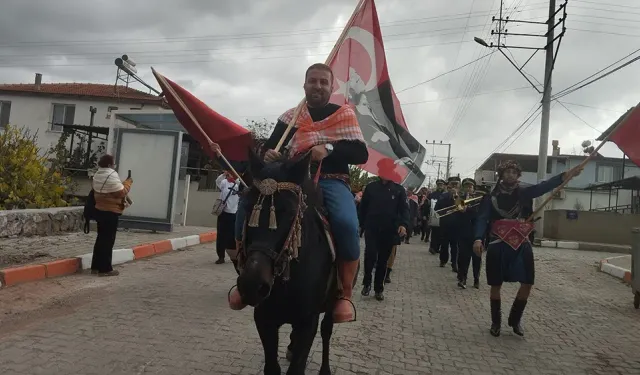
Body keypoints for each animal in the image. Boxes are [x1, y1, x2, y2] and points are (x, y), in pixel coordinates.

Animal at [238, 151, 342, 375]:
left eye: (289, 211)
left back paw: (325, 369)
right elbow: (272, 367)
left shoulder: (308, 322)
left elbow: (297, 368)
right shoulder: (264, 318)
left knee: (327, 330)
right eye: (247, 207)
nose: (252, 285)